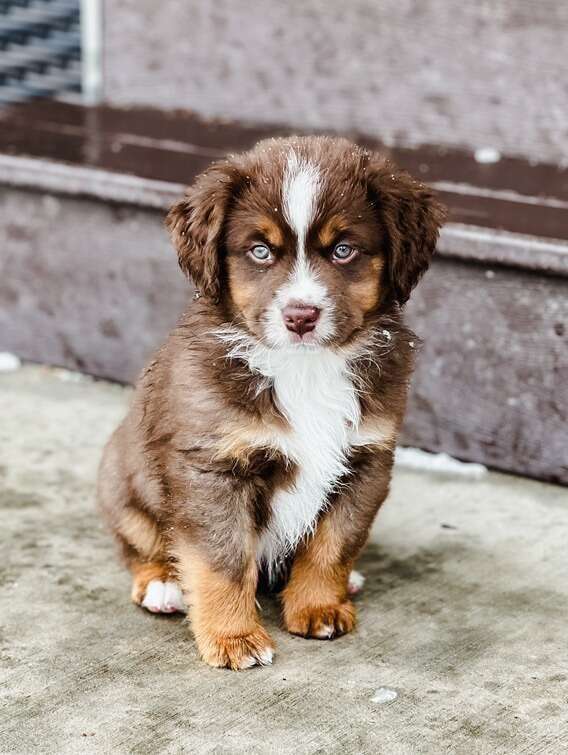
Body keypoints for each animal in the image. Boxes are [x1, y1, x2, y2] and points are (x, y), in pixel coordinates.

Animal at [96, 139, 444, 672]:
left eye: (344, 250)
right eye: (260, 251)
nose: (301, 316)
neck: (305, 369)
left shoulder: (365, 458)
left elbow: (334, 543)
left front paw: (319, 605)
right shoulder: (213, 467)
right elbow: (221, 560)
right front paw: (233, 638)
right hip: (122, 482)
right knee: (140, 546)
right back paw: (163, 585)